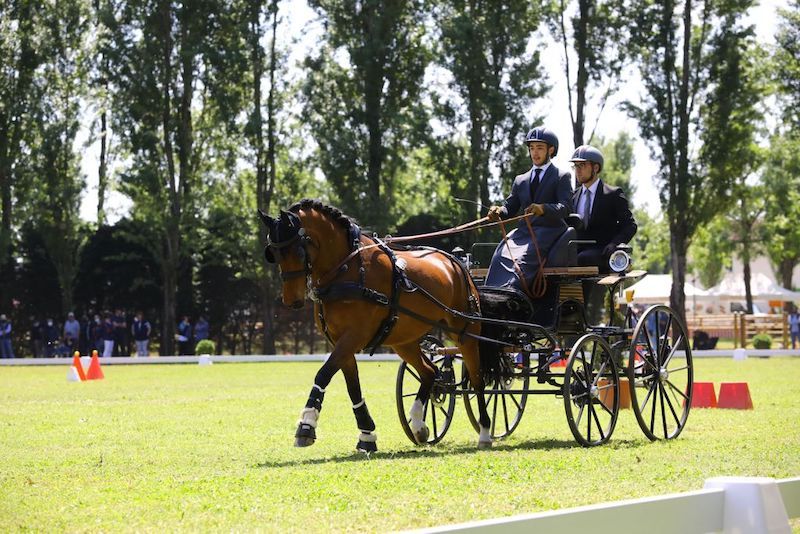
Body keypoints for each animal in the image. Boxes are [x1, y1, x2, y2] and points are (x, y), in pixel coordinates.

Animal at [259, 199, 493, 452]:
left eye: (298, 250)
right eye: (273, 252)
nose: (291, 301)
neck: (347, 270)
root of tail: (457, 263)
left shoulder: (354, 336)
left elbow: (323, 374)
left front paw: (306, 425)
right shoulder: (340, 341)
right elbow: (352, 387)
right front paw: (367, 435)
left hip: (466, 331)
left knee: (477, 379)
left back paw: (485, 432)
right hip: (404, 341)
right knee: (429, 372)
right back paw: (419, 425)